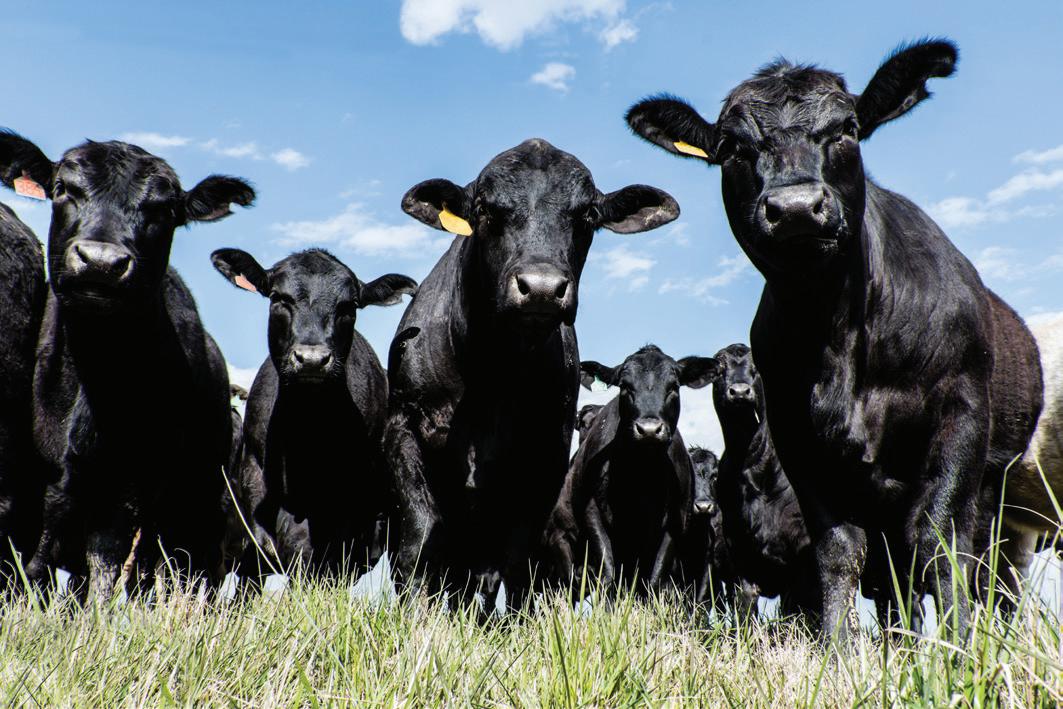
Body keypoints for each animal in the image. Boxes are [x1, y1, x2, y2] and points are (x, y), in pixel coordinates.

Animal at [0, 132, 255, 603]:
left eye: (164, 209)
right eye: (63, 188)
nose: (101, 261)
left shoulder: (132, 485)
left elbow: (106, 565)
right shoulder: (46, 481)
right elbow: (41, 563)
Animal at [387, 139, 679, 611]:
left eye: (588, 214)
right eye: (484, 208)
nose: (541, 287)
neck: (491, 374)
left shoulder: (545, 456)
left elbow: (512, 560)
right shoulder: (404, 427)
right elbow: (421, 536)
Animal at [547, 346, 720, 596]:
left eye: (674, 386)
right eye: (625, 386)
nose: (649, 429)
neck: (640, 475)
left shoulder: (675, 522)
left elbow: (655, 580)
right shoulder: (592, 513)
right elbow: (608, 573)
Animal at [711, 344, 818, 619]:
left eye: (757, 366)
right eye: (719, 366)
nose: (740, 391)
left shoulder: (802, 560)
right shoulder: (740, 555)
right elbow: (745, 608)